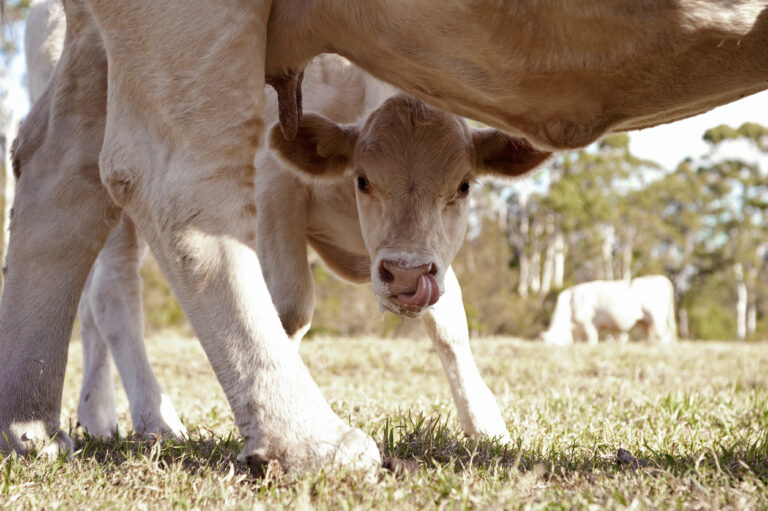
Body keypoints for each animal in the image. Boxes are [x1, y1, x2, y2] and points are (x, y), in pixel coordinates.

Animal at [541, 275, 677, 345]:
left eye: (552, 343)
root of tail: (661, 278)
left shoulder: (587, 322)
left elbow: (592, 338)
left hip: (657, 318)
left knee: (665, 335)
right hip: (648, 322)